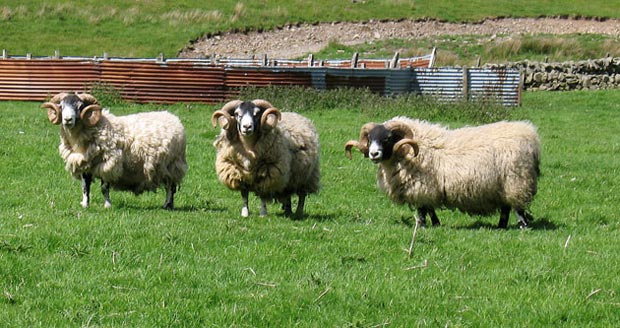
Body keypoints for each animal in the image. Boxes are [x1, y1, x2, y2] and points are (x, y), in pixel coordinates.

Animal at [42, 91, 186, 210]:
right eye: (61, 106)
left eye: (80, 106)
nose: (67, 120)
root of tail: (174, 118)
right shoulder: (85, 164)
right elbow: (85, 187)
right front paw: (85, 205)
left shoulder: (108, 164)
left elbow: (104, 188)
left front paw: (107, 205)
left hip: (173, 165)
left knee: (170, 187)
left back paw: (168, 205)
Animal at [346, 117, 540, 228]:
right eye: (370, 138)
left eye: (387, 138)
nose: (373, 154)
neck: (409, 149)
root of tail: (531, 135)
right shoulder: (428, 190)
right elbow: (430, 208)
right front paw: (436, 224)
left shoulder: (421, 187)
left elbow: (422, 211)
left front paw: (422, 226)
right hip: (503, 184)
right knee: (506, 207)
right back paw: (501, 226)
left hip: (517, 180)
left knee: (518, 208)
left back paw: (522, 227)